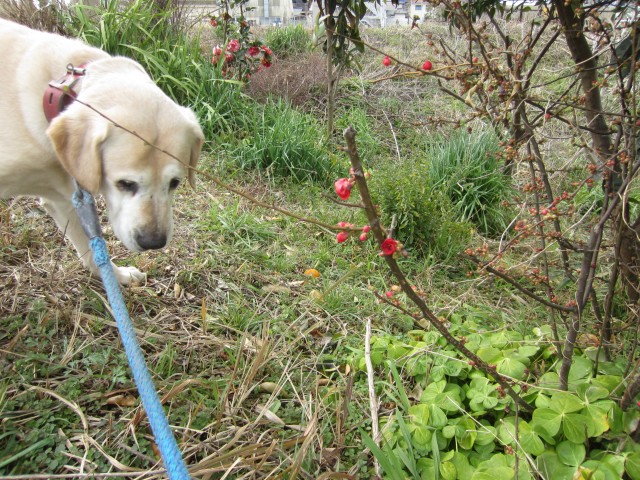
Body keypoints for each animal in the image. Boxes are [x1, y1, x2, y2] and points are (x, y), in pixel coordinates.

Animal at [0, 19, 202, 284]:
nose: (153, 242)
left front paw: (117, 275)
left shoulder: (64, 198)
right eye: (125, 183)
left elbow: (92, 251)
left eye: (175, 183)